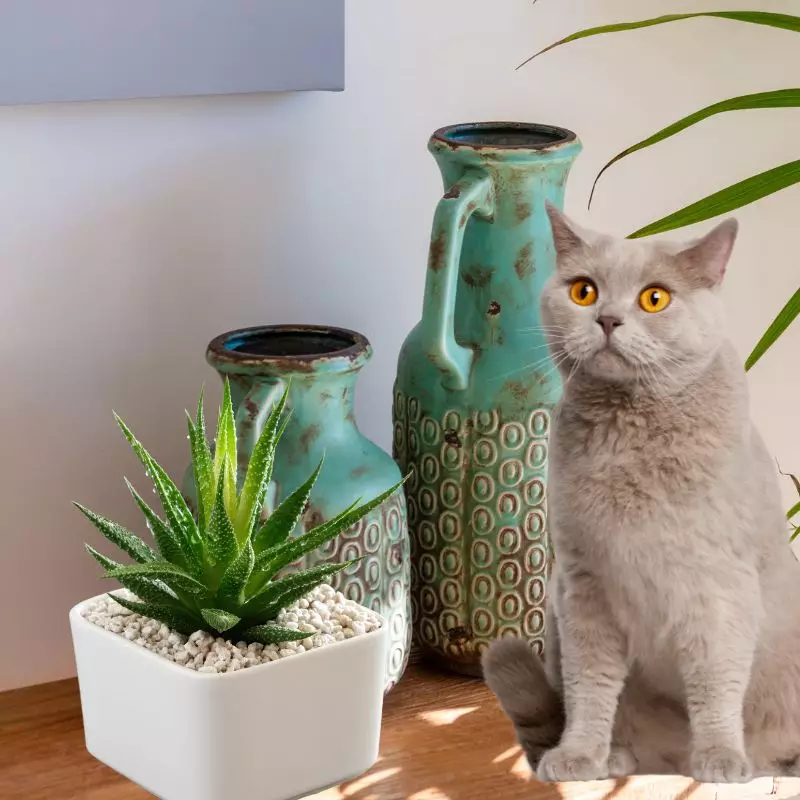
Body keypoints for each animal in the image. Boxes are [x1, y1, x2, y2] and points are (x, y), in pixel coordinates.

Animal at [482, 203, 800, 784]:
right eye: (584, 291)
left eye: (655, 298)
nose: (607, 319)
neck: (629, 433)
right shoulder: (584, 586)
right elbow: (589, 687)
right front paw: (581, 755)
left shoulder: (719, 588)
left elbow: (715, 682)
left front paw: (721, 759)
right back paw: (618, 758)